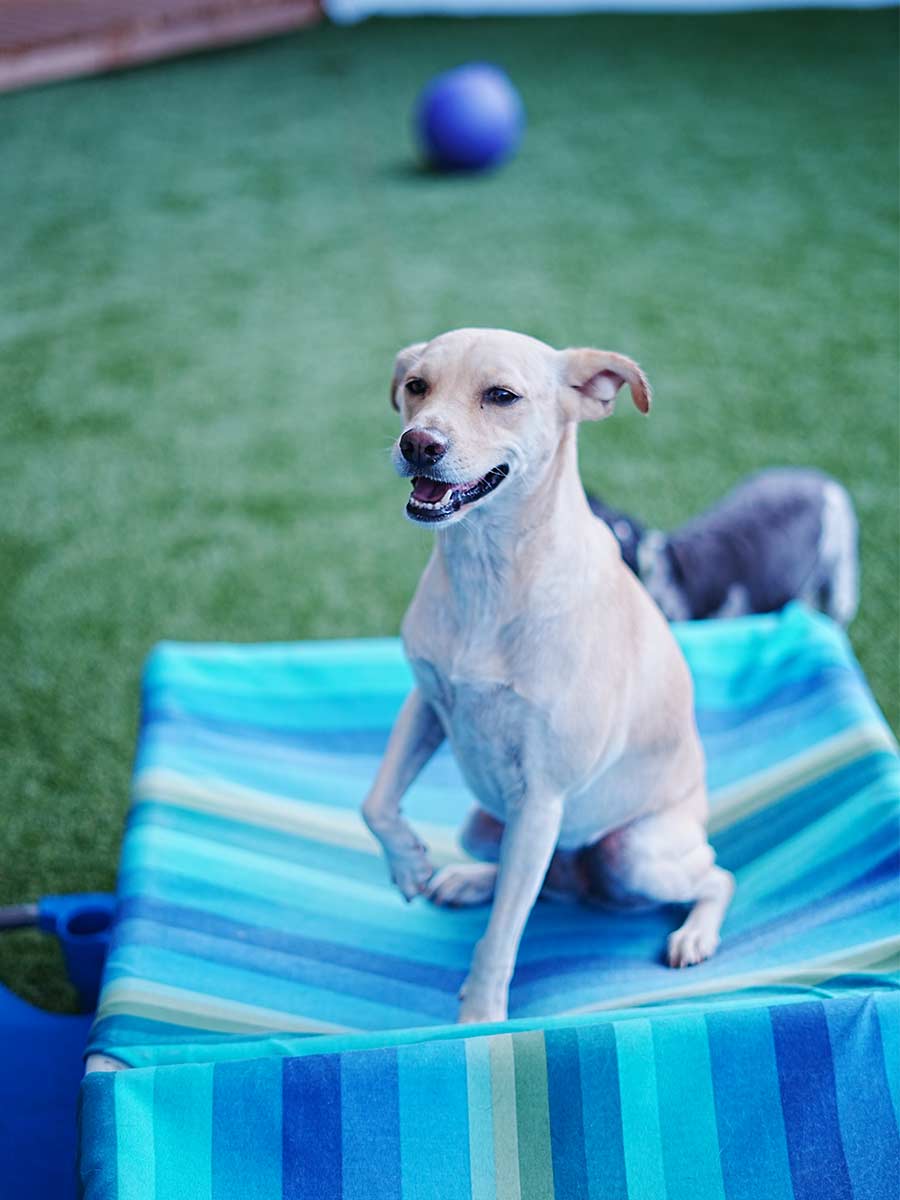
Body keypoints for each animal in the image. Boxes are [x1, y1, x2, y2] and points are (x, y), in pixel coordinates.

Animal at [362, 328, 734, 1022]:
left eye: (502, 396)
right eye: (416, 386)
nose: (417, 443)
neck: (488, 573)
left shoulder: (541, 798)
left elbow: (501, 939)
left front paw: (479, 1020)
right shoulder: (426, 704)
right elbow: (375, 802)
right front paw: (407, 867)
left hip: (632, 852)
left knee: (716, 876)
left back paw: (694, 934)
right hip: (486, 825)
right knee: (537, 886)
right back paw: (469, 880)